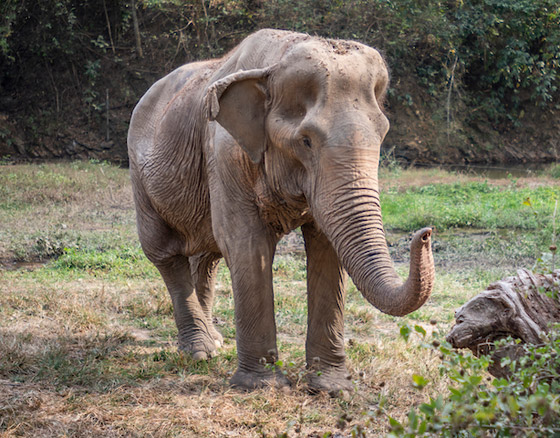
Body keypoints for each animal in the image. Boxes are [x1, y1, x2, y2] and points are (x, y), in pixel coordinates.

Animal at [129, 29, 436, 396]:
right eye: (305, 141)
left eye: (382, 135)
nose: (426, 234)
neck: (275, 62)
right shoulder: (225, 153)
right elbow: (246, 245)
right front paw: (262, 386)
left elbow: (326, 246)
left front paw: (332, 388)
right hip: (140, 176)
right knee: (165, 253)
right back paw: (200, 351)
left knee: (205, 257)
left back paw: (215, 341)